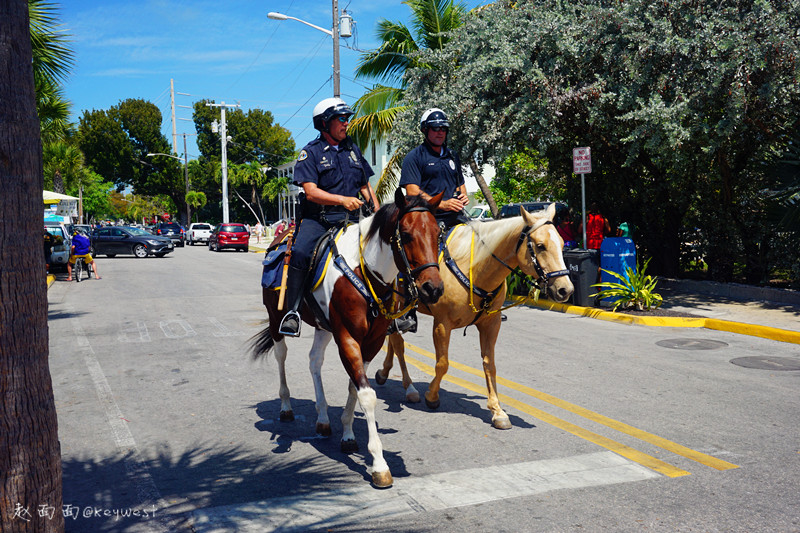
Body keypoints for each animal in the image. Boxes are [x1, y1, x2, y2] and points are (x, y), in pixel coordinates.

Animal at [250, 190, 444, 486]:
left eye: (437, 233)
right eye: (407, 235)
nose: (433, 288)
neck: (366, 272)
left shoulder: (372, 341)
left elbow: (355, 387)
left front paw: (348, 434)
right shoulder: (348, 338)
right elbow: (367, 395)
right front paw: (379, 464)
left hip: (323, 327)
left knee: (314, 361)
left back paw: (322, 418)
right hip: (276, 317)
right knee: (281, 355)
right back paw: (285, 406)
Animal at [376, 202, 572, 430]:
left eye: (561, 243)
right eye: (540, 246)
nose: (565, 289)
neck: (476, 268)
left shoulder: (491, 325)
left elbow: (490, 365)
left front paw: (497, 411)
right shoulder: (442, 324)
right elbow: (442, 364)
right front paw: (432, 396)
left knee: (393, 340)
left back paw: (384, 373)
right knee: (398, 344)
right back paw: (410, 388)